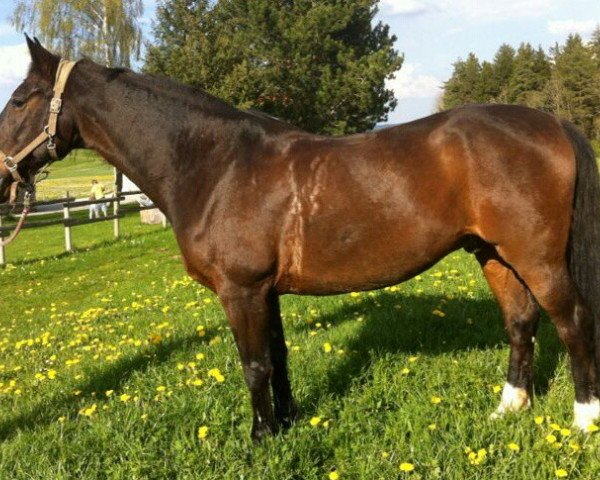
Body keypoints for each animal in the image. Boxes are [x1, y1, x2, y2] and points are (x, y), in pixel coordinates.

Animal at [1, 37, 600, 440]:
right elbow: (278, 357)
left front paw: (260, 437)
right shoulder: (265, 291)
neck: (217, 165)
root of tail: (551, 123)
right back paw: (510, 407)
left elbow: (254, 364)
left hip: (538, 258)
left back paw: (583, 419)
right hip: (493, 254)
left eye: (20, 99)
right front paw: (287, 424)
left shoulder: (241, 291)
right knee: (520, 323)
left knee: (572, 322)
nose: (3, 176)